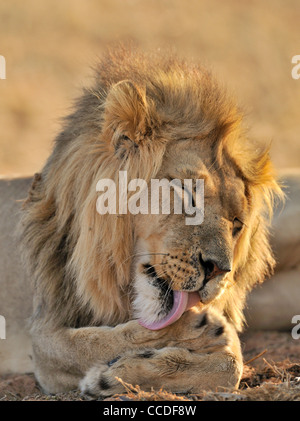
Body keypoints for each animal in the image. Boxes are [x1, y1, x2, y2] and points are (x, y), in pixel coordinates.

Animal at [0, 49, 288, 398]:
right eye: (187, 192)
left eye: (236, 224)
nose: (219, 270)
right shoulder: (43, 339)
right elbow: (101, 340)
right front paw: (195, 330)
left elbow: (230, 366)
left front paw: (116, 375)